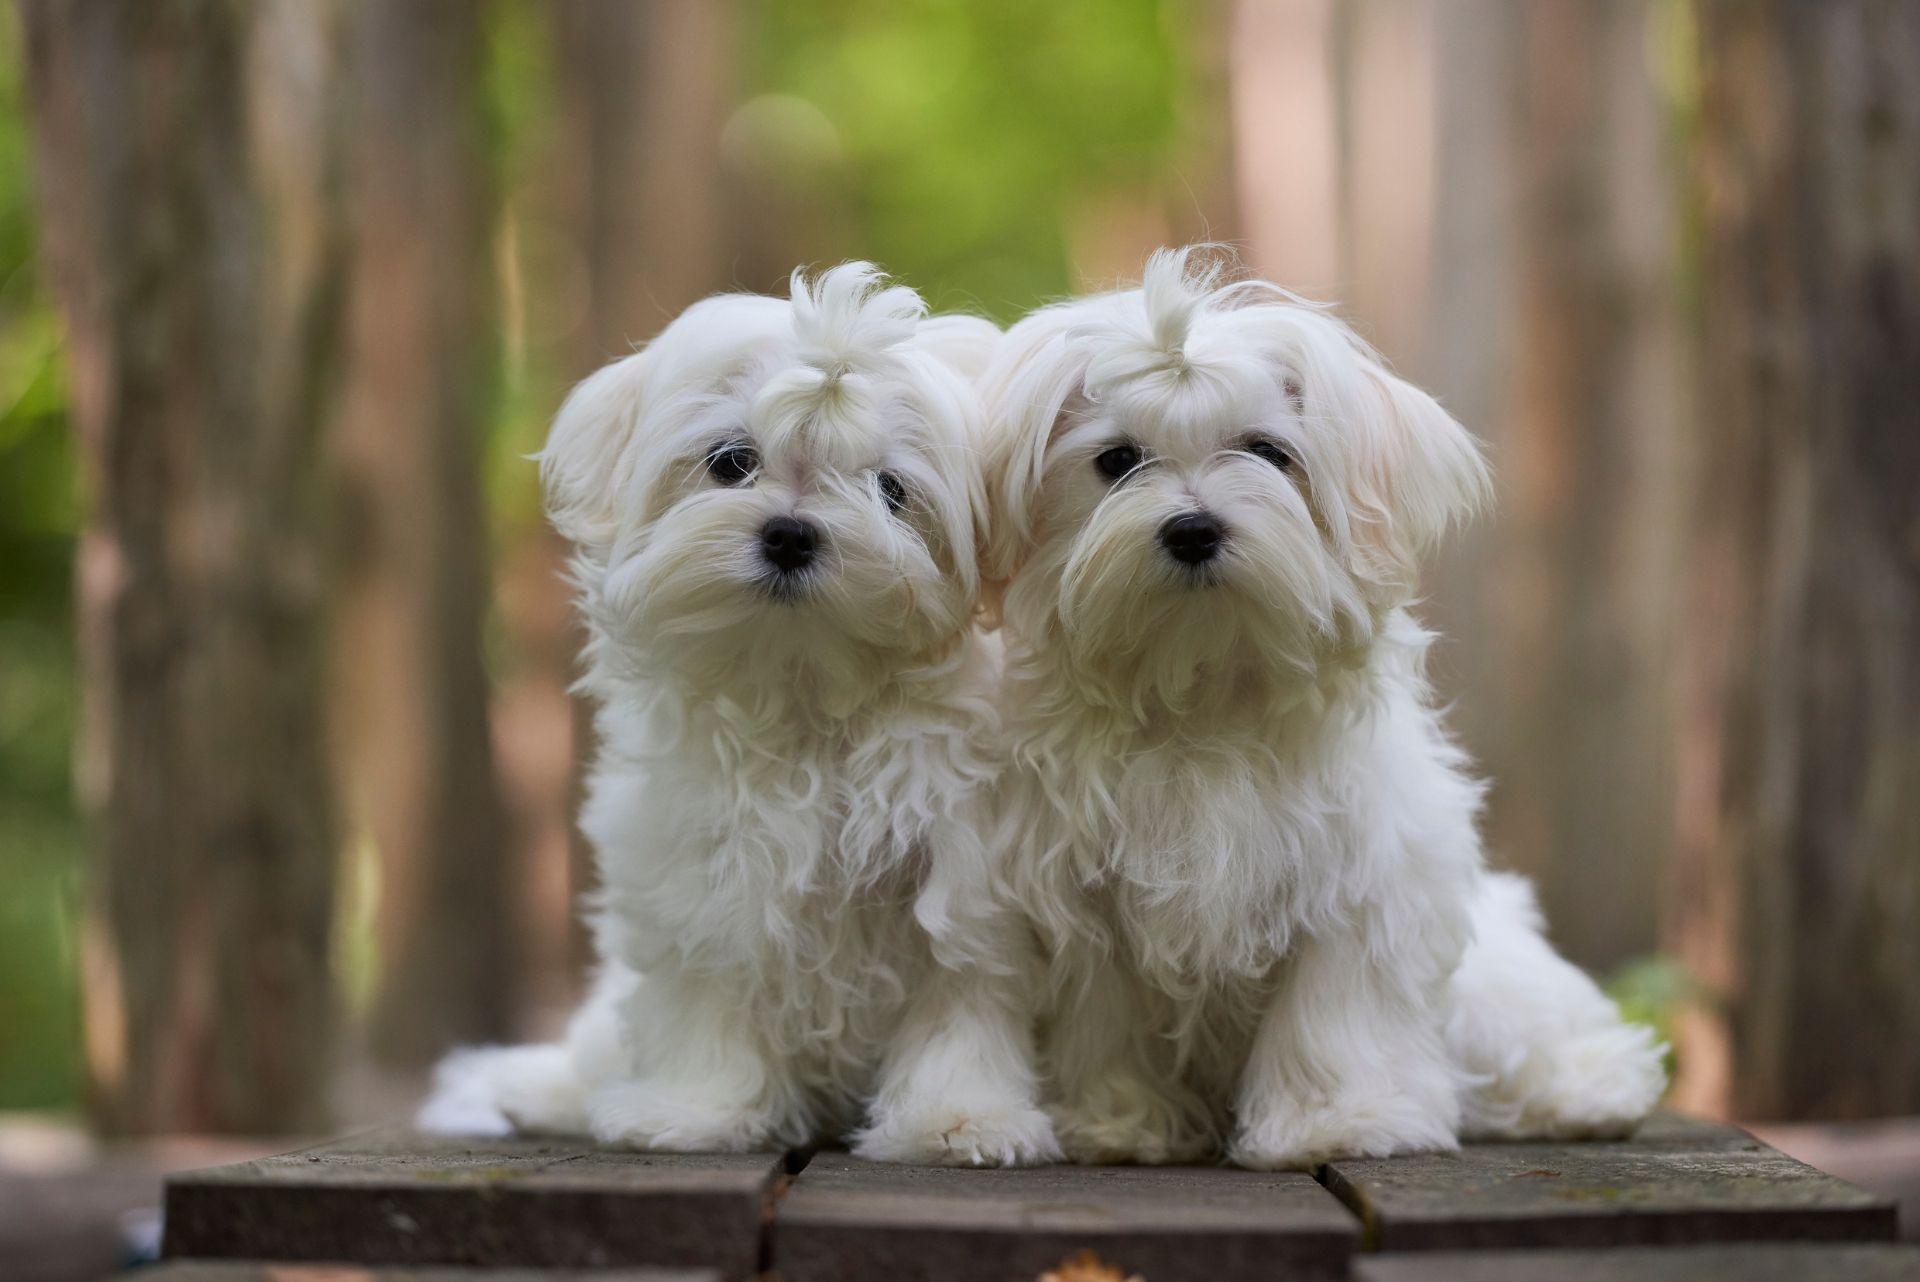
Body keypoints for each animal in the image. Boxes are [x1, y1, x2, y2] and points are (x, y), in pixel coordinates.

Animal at [414, 264, 1067, 1166]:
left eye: (891, 490)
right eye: (731, 462)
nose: (790, 534)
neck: (803, 692)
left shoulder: (965, 875)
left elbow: (961, 993)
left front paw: (957, 1118)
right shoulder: (703, 869)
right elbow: (710, 986)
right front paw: (697, 1109)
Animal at [975, 249, 1666, 1174]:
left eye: (1269, 453)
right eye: (1116, 460)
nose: (1192, 528)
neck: (1206, 690)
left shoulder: (1361, 881)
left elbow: (1333, 1010)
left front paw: (1338, 1120)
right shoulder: (1087, 896)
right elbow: (1108, 1019)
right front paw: (1121, 1122)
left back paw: (1586, 1090)